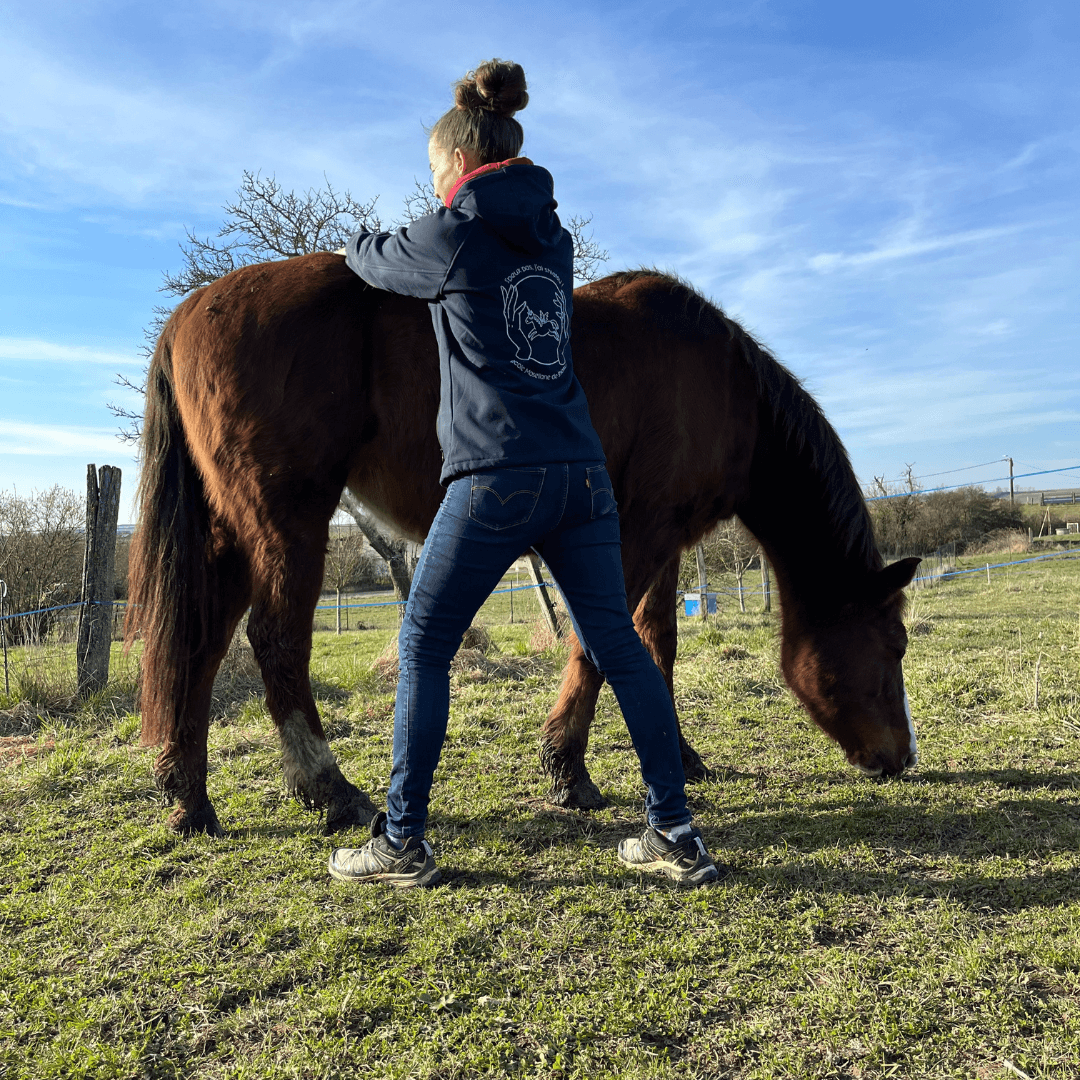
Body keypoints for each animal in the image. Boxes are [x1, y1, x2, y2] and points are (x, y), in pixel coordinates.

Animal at [126, 255, 920, 837]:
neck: (722, 387)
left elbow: (654, 645)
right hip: (285, 520)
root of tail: (189, 312)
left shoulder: (664, 544)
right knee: (276, 639)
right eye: (895, 644)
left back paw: (189, 798)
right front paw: (568, 770)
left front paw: (676, 756)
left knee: (197, 645)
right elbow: (600, 643)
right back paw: (330, 789)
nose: (902, 758)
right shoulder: (638, 534)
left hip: (233, 531)